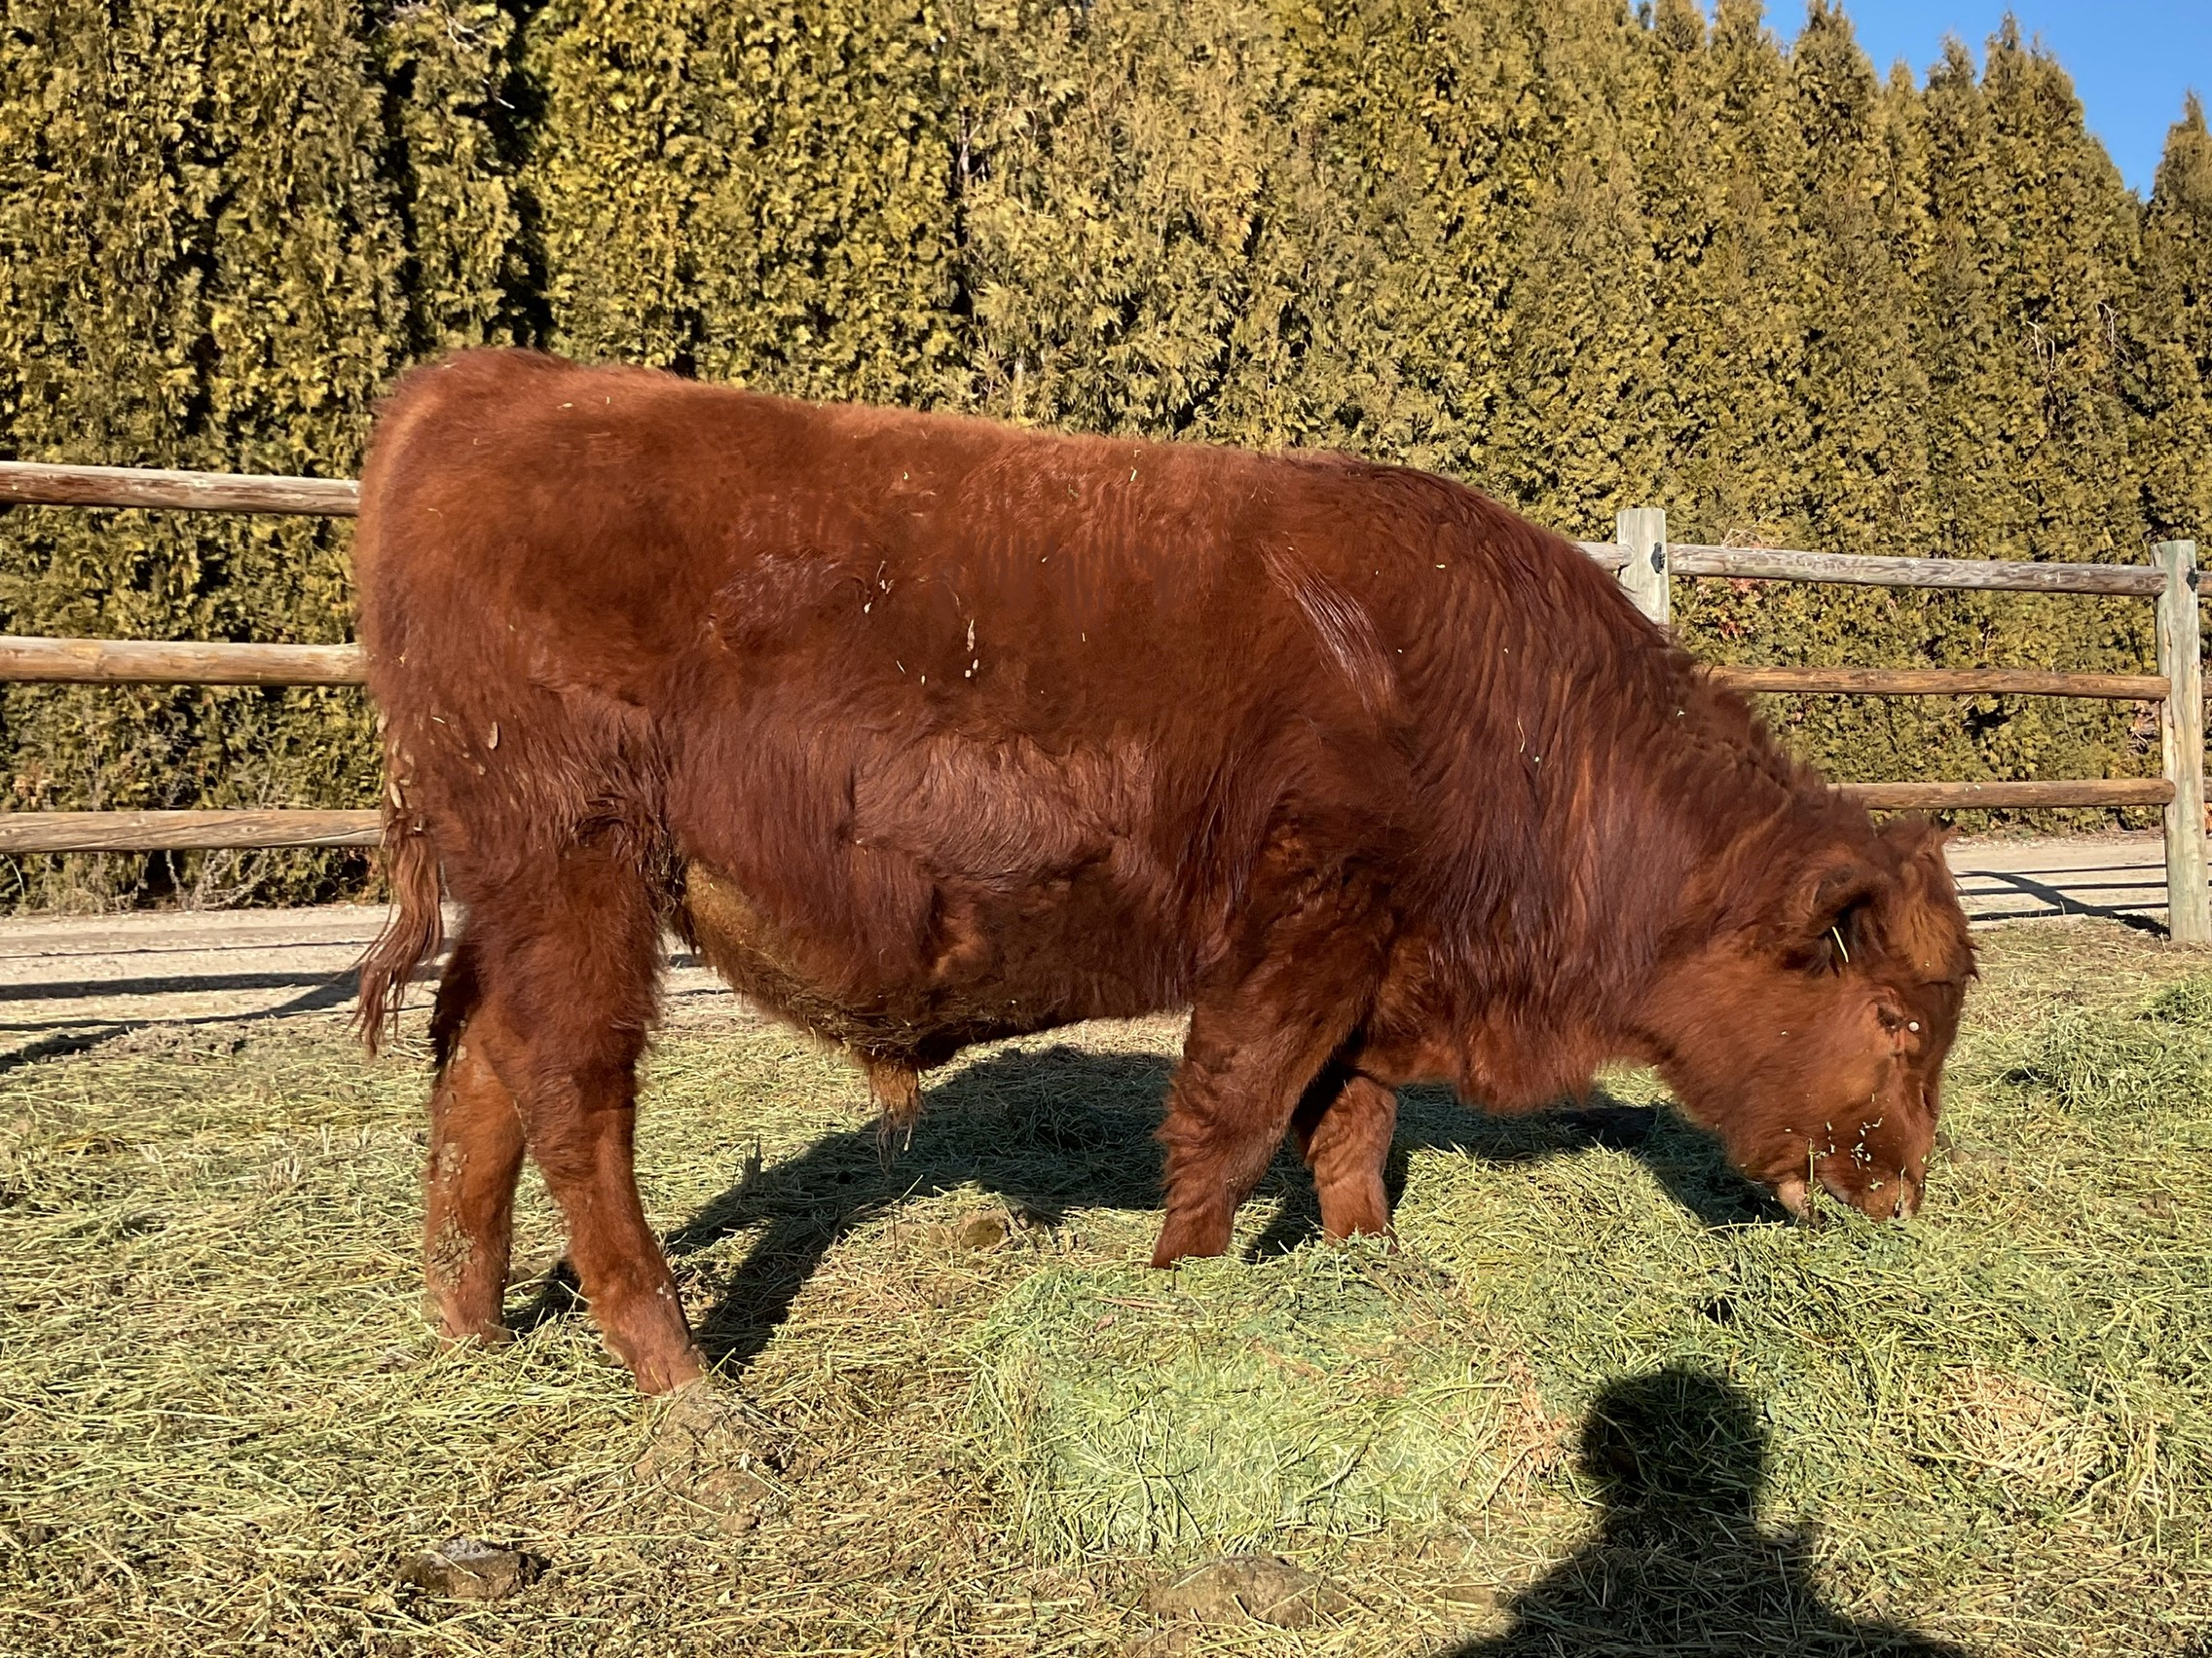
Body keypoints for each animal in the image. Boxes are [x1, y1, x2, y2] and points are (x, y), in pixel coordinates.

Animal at [353, 353, 1981, 1406]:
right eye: (1899, 1021)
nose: (1904, 1191)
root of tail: (479, 386)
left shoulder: (1372, 965)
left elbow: (1349, 1129)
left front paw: (1370, 1270)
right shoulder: (1301, 927)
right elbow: (1236, 1117)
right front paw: (1185, 1293)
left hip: (526, 894)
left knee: (478, 1073)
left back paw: (469, 1331)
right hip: (577, 867)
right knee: (576, 1094)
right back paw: (691, 1387)